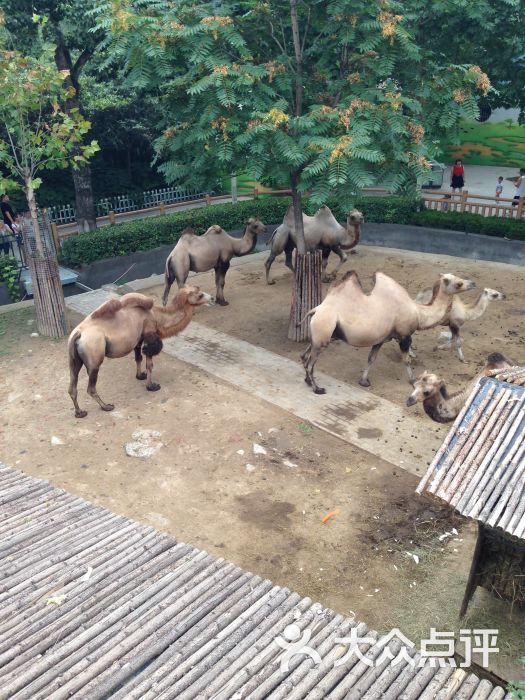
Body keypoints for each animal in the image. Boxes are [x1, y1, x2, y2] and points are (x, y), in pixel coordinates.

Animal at [67, 284, 211, 416]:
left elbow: (138, 358)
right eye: (200, 295)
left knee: (72, 385)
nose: (212, 298)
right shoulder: (150, 335)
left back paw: (79, 412)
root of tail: (78, 334)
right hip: (94, 354)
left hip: (74, 358)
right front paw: (151, 386)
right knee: (91, 387)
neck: (157, 316)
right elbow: (150, 364)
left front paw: (140, 376)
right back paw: (106, 406)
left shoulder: (138, 339)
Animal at [298, 270, 474, 394]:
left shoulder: (381, 339)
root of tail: (315, 310)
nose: (472, 283)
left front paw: (364, 381)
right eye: (458, 283)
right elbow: (406, 360)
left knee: (305, 354)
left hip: (321, 335)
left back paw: (307, 381)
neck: (419, 313)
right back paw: (317, 388)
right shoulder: (404, 336)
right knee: (310, 362)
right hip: (324, 332)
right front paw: (413, 381)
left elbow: (371, 359)